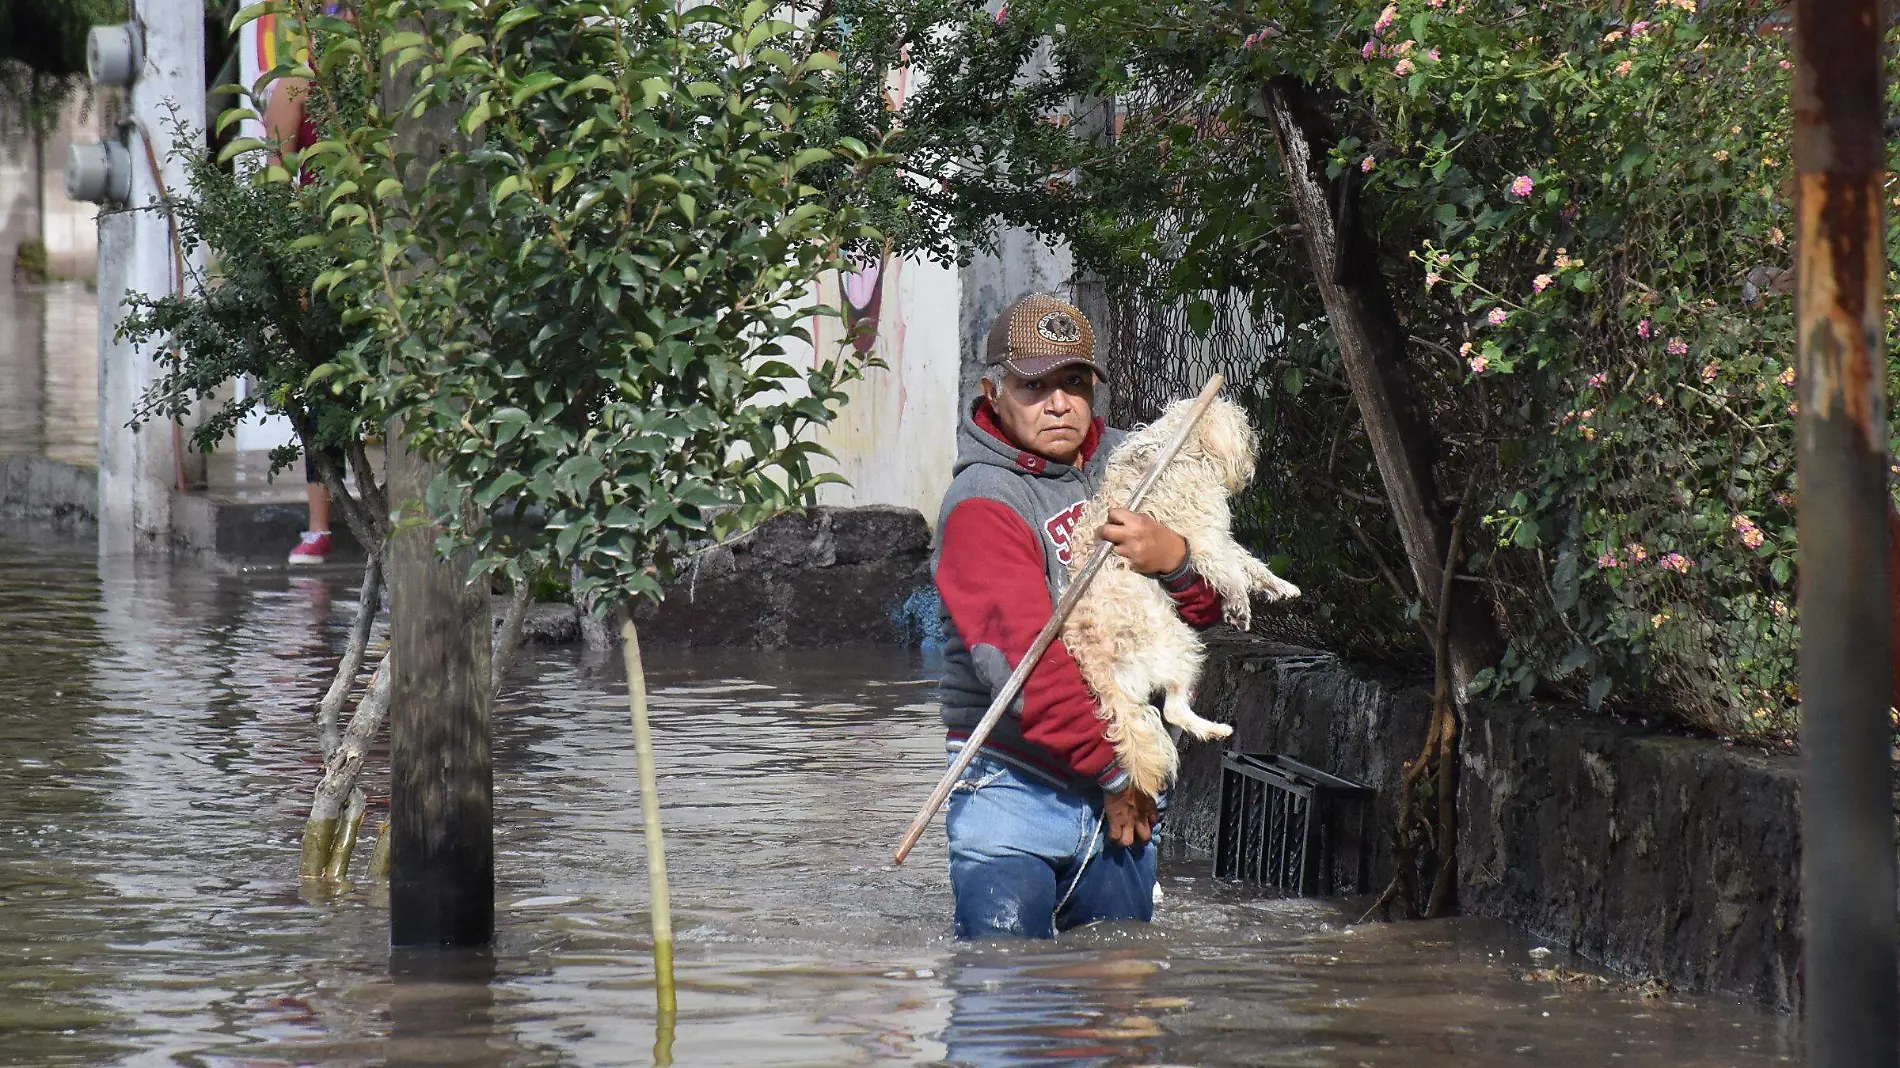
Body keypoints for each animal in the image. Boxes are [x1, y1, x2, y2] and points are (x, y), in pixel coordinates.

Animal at [1064, 395, 1299, 794]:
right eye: (1243, 427)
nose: (1257, 448)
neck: (1182, 447)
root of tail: (1097, 667)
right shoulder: (1204, 537)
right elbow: (1232, 570)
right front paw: (1239, 606)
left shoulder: (1211, 536)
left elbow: (1247, 561)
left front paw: (1280, 586)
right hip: (1180, 645)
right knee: (1172, 709)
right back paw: (1216, 729)